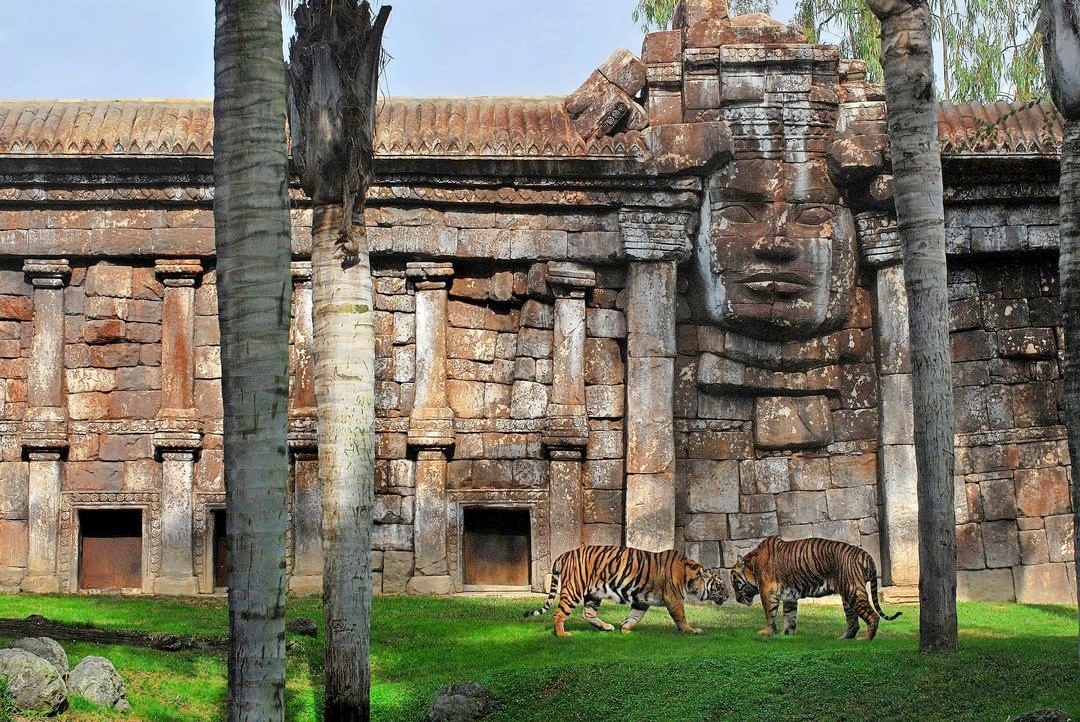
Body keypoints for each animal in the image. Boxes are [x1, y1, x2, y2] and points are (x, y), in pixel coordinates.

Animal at [520, 546, 725, 634]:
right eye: (721, 585)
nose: (729, 595)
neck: (691, 577)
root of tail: (565, 553)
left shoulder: (642, 600)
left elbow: (635, 616)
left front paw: (625, 629)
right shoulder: (673, 599)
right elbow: (681, 617)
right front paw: (691, 631)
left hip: (593, 594)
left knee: (588, 613)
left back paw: (606, 627)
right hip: (573, 590)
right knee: (559, 614)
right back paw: (562, 634)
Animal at [730, 533, 898, 638]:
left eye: (734, 583)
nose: (737, 599)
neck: (751, 567)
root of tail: (865, 554)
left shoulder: (767, 593)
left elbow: (769, 614)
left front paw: (767, 633)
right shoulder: (789, 596)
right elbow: (790, 616)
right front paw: (786, 636)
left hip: (853, 591)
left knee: (873, 616)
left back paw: (865, 640)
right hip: (847, 596)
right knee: (853, 623)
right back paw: (844, 639)